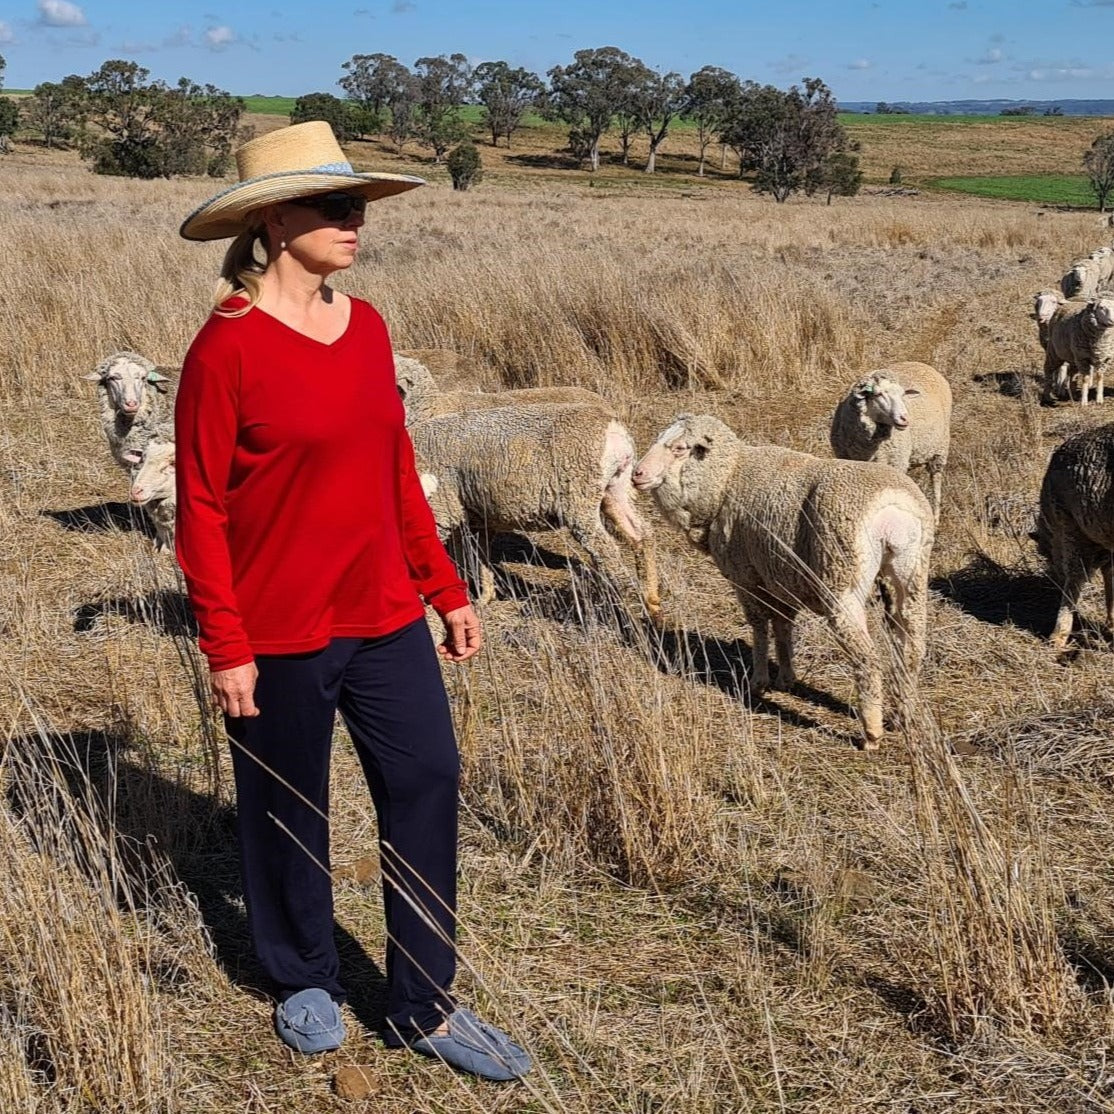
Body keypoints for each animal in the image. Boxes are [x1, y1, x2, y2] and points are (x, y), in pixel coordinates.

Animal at [407, 403, 659, 628]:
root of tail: (613, 429)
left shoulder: (442, 509)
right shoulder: (475, 517)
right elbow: (475, 555)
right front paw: (483, 598)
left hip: (579, 496)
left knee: (607, 550)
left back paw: (629, 609)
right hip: (615, 489)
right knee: (641, 533)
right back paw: (652, 601)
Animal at [632, 412, 935, 748]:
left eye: (680, 449)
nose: (637, 474)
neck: (728, 478)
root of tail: (894, 508)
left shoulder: (745, 575)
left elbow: (759, 625)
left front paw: (759, 681)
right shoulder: (777, 575)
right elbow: (782, 623)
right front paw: (786, 677)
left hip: (842, 579)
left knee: (867, 658)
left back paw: (871, 732)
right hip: (911, 572)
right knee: (911, 647)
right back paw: (902, 716)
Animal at [828, 360, 949, 525]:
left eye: (903, 395)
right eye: (878, 394)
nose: (905, 419)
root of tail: (919, 363)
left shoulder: (894, 463)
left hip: (939, 449)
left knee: (936, 480)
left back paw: (936, 517)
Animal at [1029, 421, 1114, 650]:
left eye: (1047, 556)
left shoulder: (1070, 525)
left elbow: (1075, 578)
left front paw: (1058, 634)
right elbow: (1110, 577)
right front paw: (1111, 623)